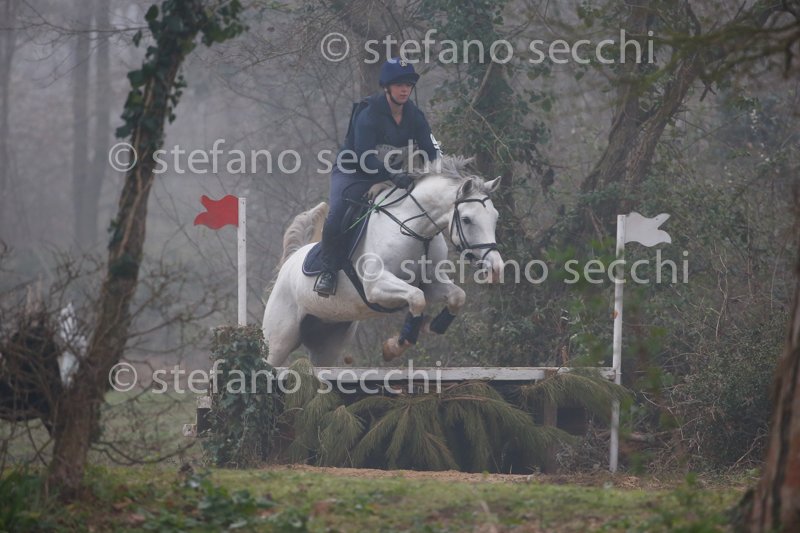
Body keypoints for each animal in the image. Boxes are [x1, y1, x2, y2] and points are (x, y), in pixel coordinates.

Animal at [262, 155, 504, 367]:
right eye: (467, 219)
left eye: (495, 218)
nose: (496, 267)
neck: (415, 230)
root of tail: (291, 260)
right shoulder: (377, 286)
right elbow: (416, 298)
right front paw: (396, 345)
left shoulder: (431, 283)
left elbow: (456, 296)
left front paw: (431, 326)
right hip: (278, 341)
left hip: (328, 341)